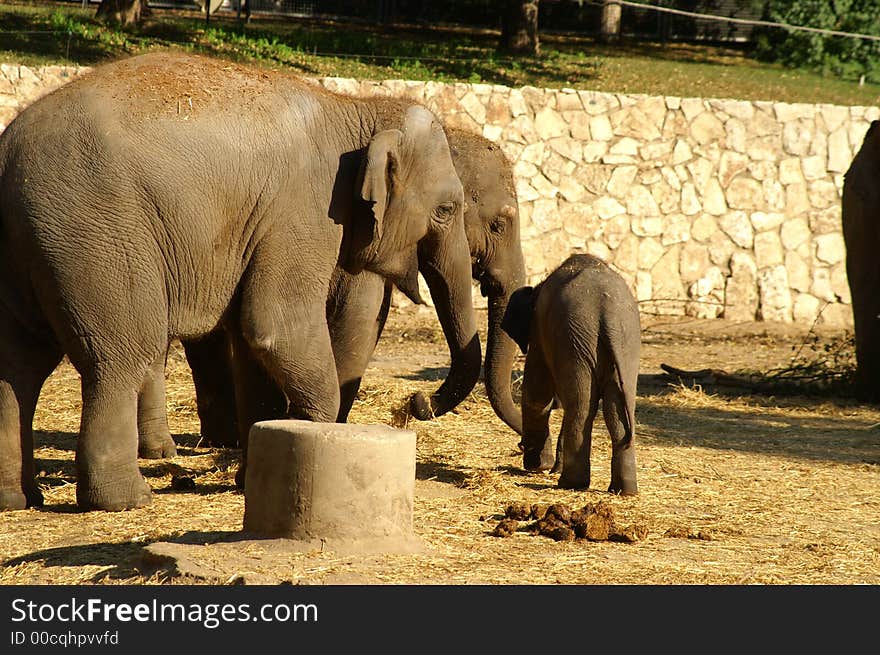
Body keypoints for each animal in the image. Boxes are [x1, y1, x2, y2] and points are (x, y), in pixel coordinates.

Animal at [0, 52, 482, 512]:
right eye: (446, 210)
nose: (417, 403)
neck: (356, 109)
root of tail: (7, 156)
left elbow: (253, 347)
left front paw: (250, 475)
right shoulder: (302, 213)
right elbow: (275, 328)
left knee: (20, 367)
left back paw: (19, 499)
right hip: (97, 239)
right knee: (119, 356)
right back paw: (125, 501)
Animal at [502, 254, 640, 494]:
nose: (520, 445)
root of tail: (609, 315)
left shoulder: (539, 331)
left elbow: (537, 394)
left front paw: (538, 467)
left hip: (576, 341)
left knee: (581, 407)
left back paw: (570, 483)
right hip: (623, 345)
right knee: (616, 410)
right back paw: (624, 490)